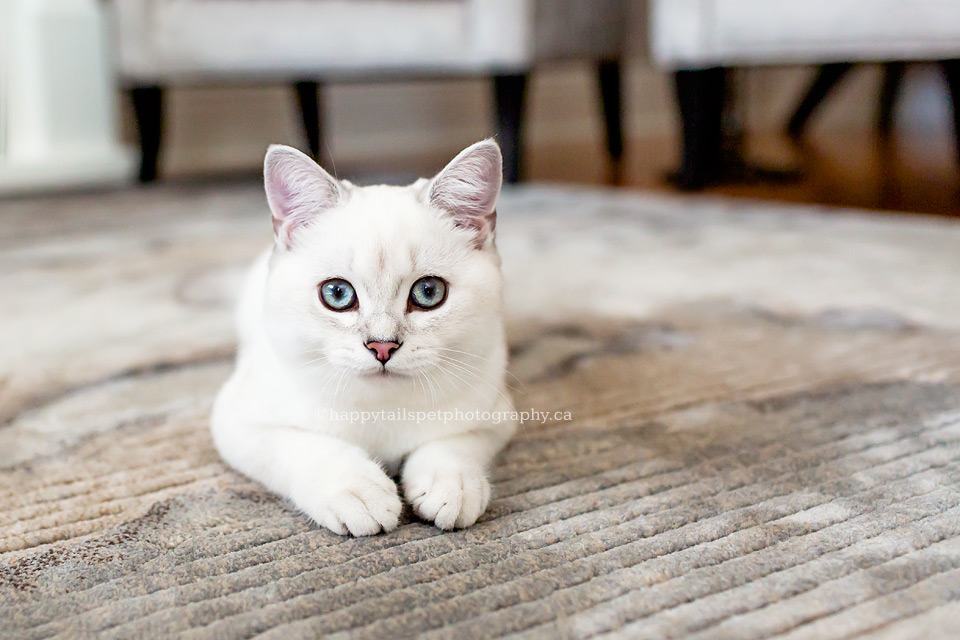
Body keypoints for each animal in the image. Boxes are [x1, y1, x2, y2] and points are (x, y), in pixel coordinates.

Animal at [211, 139, 516, 536]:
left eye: (428, 292)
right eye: (338, 294)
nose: (382, 346)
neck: (381, 410)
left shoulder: (496, 418)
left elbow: (454, 443)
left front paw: (452, 485)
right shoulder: (237, 422)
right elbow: (305, 446)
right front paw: (358, 491)